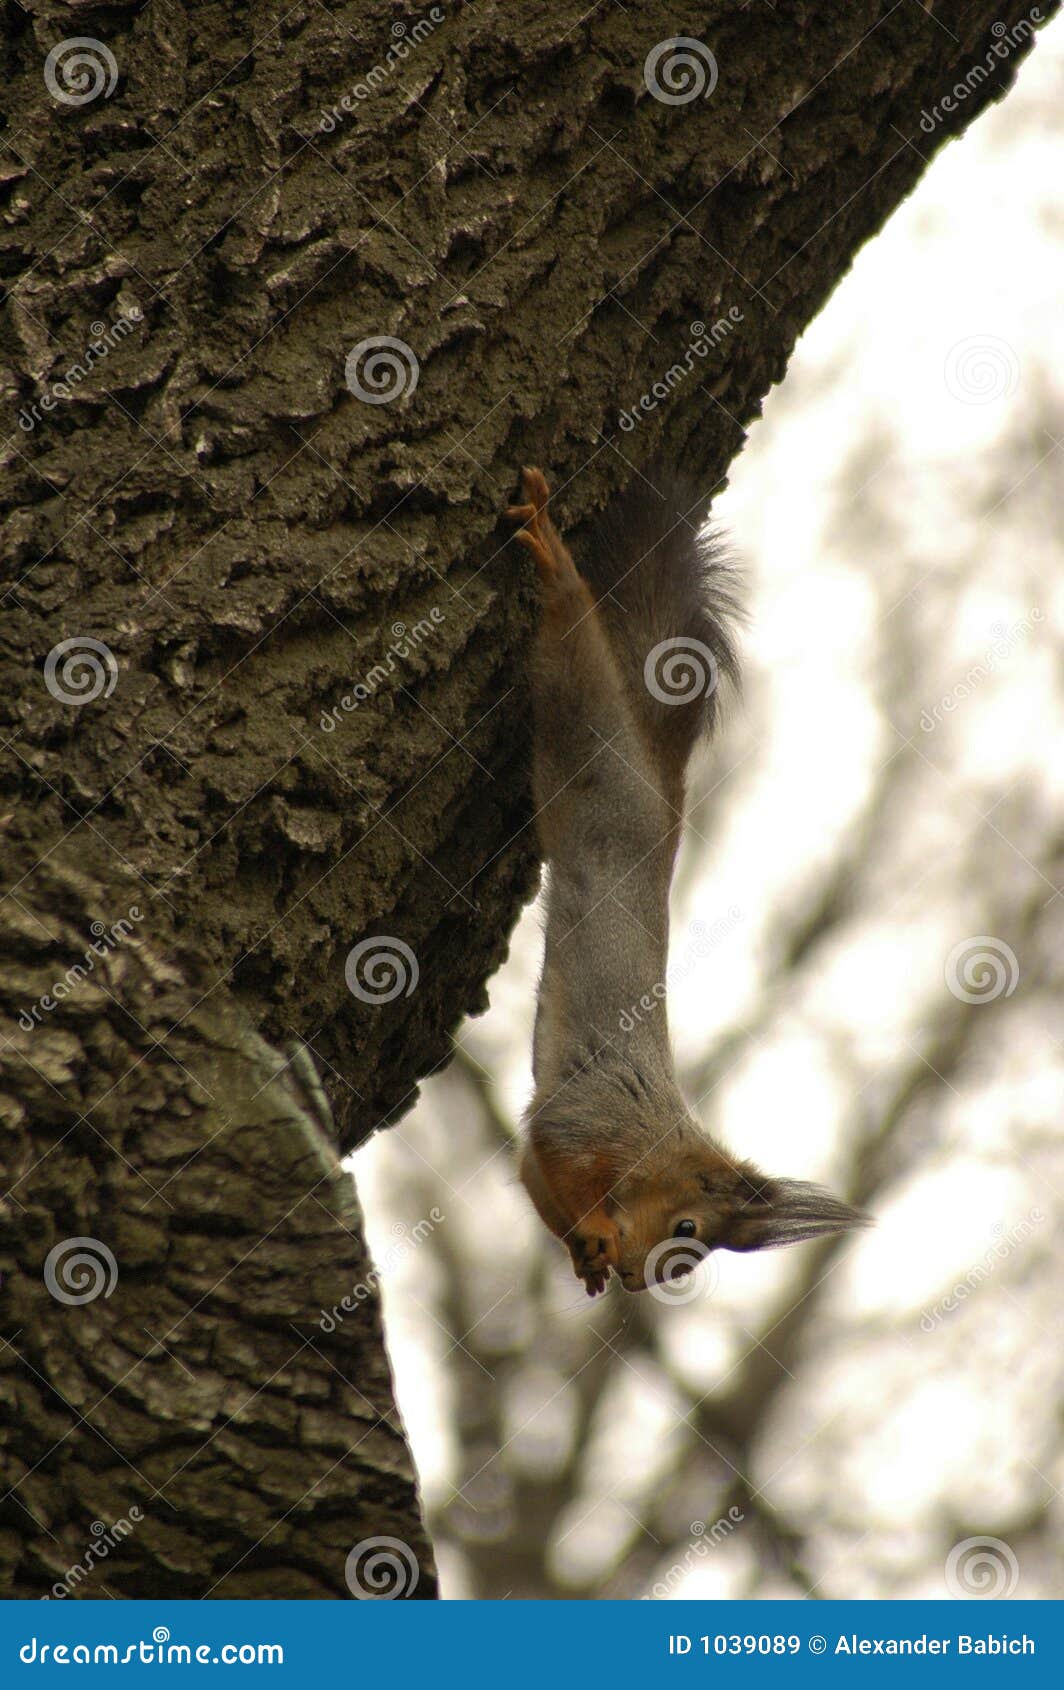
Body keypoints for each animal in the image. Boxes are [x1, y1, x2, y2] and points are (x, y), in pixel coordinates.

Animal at [510, 469, 864, 1297]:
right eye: (687, 1232)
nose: (646, 1282)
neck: (654, 1139)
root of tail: (661, 787)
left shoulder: (555, 1148)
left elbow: (535, 1177)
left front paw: (583, 1254)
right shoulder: (593, 1112)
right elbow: (555, 1146)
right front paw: (599, 1231)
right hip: (597, 756)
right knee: (574, 661)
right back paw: (557, 569)